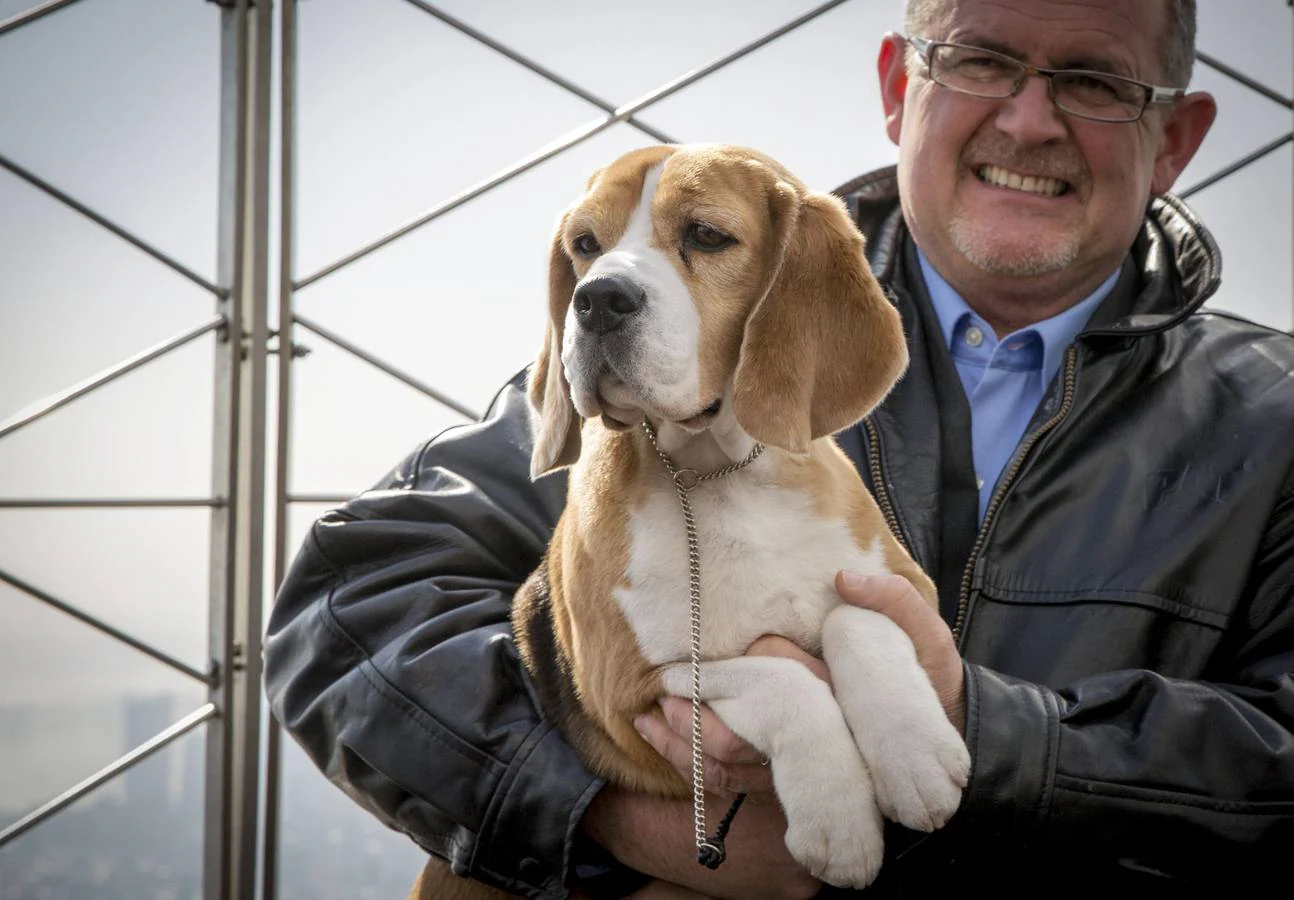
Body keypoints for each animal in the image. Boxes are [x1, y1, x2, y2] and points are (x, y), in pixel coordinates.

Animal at [414, 146, 973, 900]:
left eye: (707, 236)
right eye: (584, 245)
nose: (597, 300)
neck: (717, 474)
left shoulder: (907, 590)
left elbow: (856, 618)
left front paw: (914, 754)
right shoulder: (636, 685)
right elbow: (784, 680)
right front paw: (837, 818)